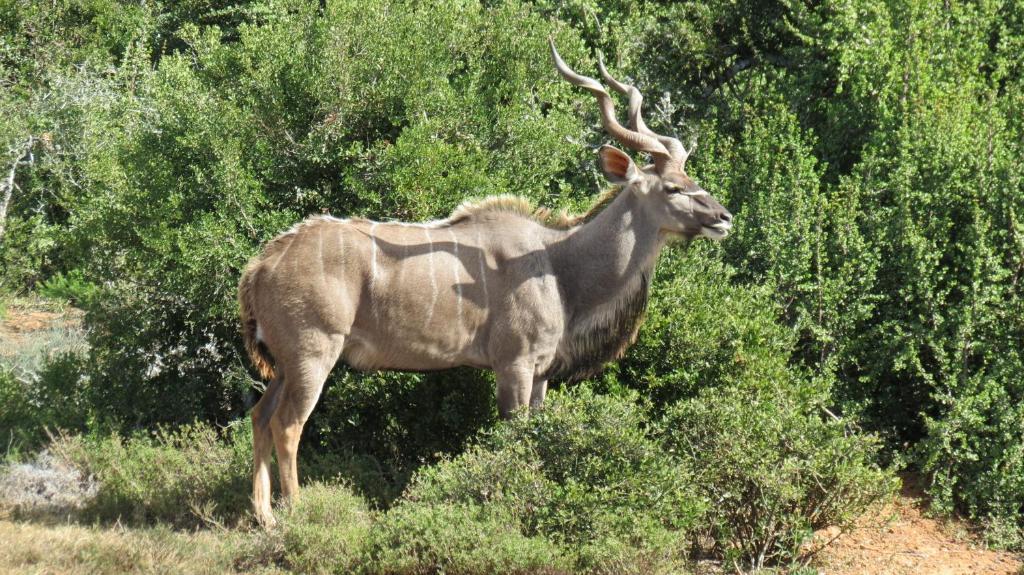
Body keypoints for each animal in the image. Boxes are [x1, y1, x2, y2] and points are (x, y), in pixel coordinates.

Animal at [239, 39, 733, 523]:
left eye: (690, 177)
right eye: (673, 188)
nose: (724, 217)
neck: (556, 264)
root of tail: (261, 266)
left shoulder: (540, 372)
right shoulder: (513, 363)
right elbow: (514, 436)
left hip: (287, 363)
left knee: (259, 415)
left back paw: (264, 516)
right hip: (314, 353)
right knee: (287, 423)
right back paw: (294, 512)